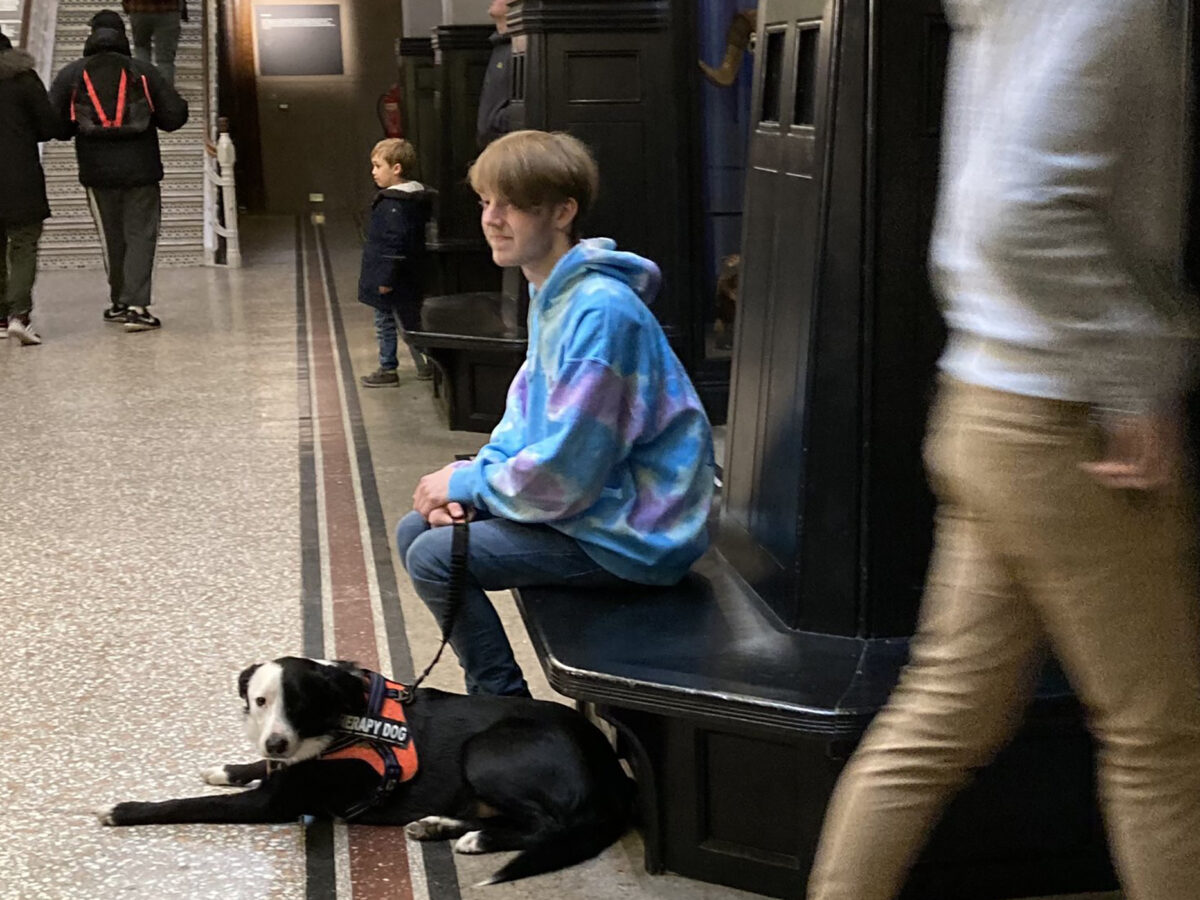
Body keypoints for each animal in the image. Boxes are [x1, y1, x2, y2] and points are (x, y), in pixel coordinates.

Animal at [98, 657, 638, 883]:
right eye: (261, 701)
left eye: (300, 704)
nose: (276, 739)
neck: (341, 719)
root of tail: (614, 771)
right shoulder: (282, 767)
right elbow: (257, 768)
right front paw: (228, 766)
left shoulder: (274, 803)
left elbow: (190, 804)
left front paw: (124, 809)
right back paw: (437, 825)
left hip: (487, 751)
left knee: (546, 824)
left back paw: (477, 839)